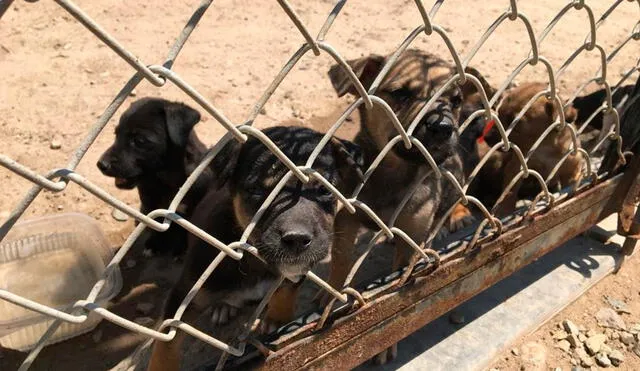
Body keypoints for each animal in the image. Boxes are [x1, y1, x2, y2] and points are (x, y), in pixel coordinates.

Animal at [97, 97, 211, 258]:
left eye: (139, 140)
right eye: (116, 134)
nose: (101, 164)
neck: (165, 181)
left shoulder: (192, 208)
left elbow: (185, 229)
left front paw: (181, 248)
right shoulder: (150, 205)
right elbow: (156, 225)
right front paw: (155, 244)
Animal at [147, 125, 362, 371]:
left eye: (325, 190)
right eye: (258, 190)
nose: (297, 239)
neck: (254, 261)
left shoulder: (297, 271)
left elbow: (288, 289)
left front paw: (277, 318)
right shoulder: (182, 297)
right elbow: (166, 343)